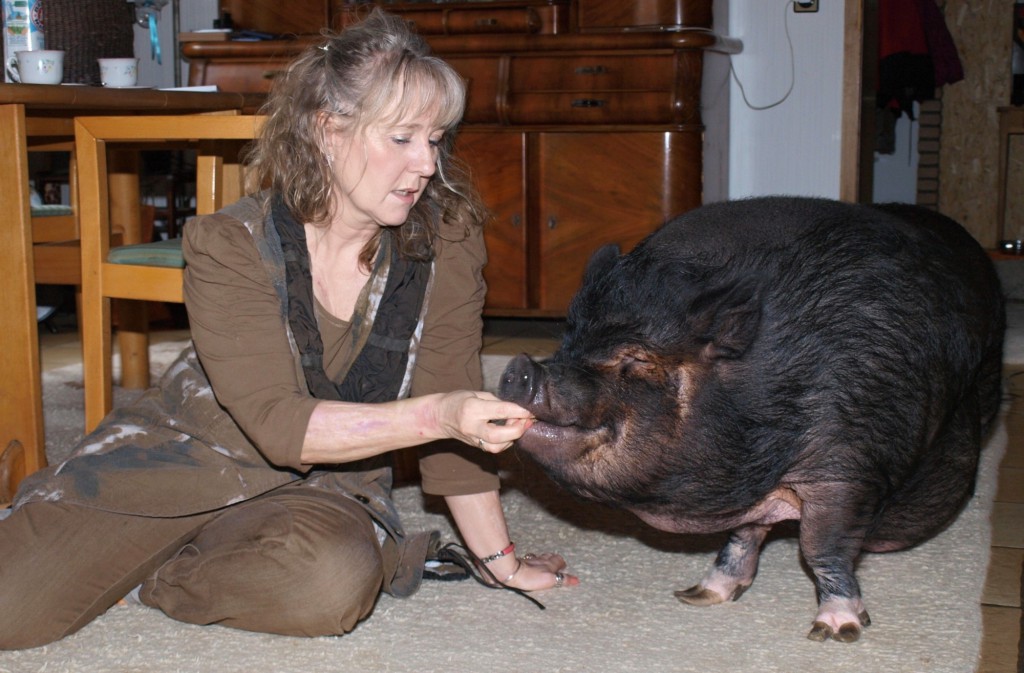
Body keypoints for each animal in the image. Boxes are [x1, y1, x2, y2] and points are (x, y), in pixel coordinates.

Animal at [499, 194, 1003, 639]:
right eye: (570, 341)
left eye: (637, 359)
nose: (520, 367)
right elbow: (745, 532)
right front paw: (698, 595)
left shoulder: (849, 465)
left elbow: (822, 546)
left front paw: (836, 631)